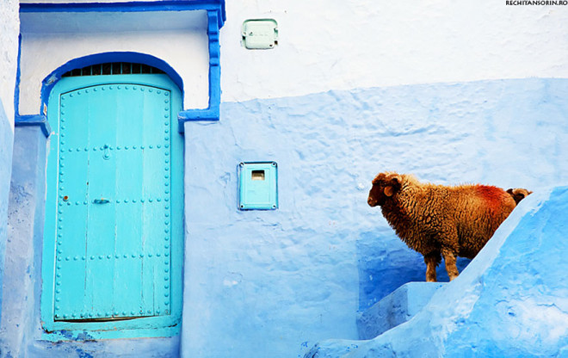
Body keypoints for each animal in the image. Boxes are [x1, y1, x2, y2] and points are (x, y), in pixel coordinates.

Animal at [368, 172, 520, 282]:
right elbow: (429, 269)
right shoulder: (428, 246)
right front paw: (430, 282)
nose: (369, 200)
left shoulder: (447, 238)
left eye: (382, 184)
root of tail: (507, 194)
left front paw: (453, 279)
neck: (416, 201)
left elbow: (449, 264)